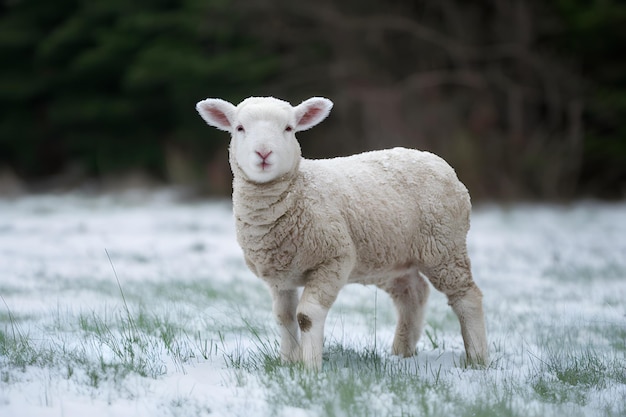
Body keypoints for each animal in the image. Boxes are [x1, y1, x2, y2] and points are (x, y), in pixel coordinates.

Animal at [195, 96, 488, 368]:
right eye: (240, 128)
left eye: (289, 128)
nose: (264, 153)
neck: (298, 190)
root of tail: (438, 161)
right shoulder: (281, 277)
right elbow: (284, 318)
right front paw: (288, 363)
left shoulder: (333, 259)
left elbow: (306, 316)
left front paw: (310, 368)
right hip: (390, 257)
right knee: (413, 294)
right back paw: (401, 353)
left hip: (444, 246)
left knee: (467, 296)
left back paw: (477, 358)